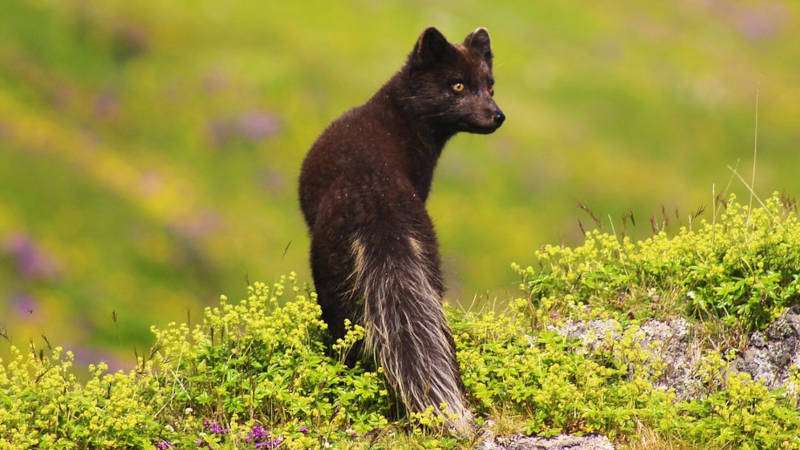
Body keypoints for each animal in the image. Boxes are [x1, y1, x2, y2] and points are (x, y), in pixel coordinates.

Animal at [298, 26, 504, 433]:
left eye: (490, 85)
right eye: (458, 85)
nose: (497, 116)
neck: (399, 120)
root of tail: (376, 201)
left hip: (330, 275)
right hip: (427, 267)